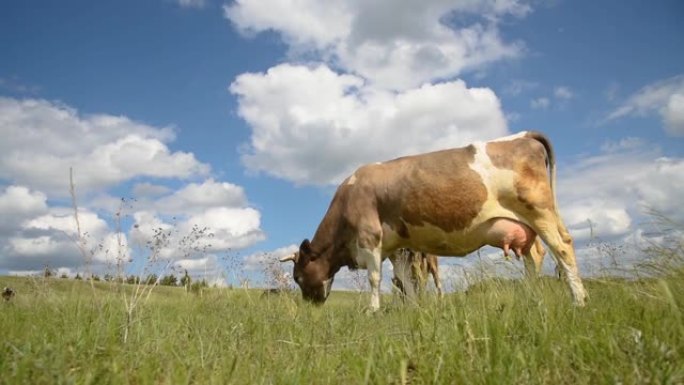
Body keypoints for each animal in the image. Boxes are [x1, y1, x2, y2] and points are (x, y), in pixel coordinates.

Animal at [280, 130, 588, 310]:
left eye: (297, 276)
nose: (309, 307)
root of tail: (523, 135)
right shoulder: (396, 249)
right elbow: (404, 281)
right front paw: (414, 309)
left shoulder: (370, 237)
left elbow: (374, 277)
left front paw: (372, 310)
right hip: (528, 224)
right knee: (534, 255)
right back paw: (531, 296)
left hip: (539, 210)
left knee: (562, 248)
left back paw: (579, 300)